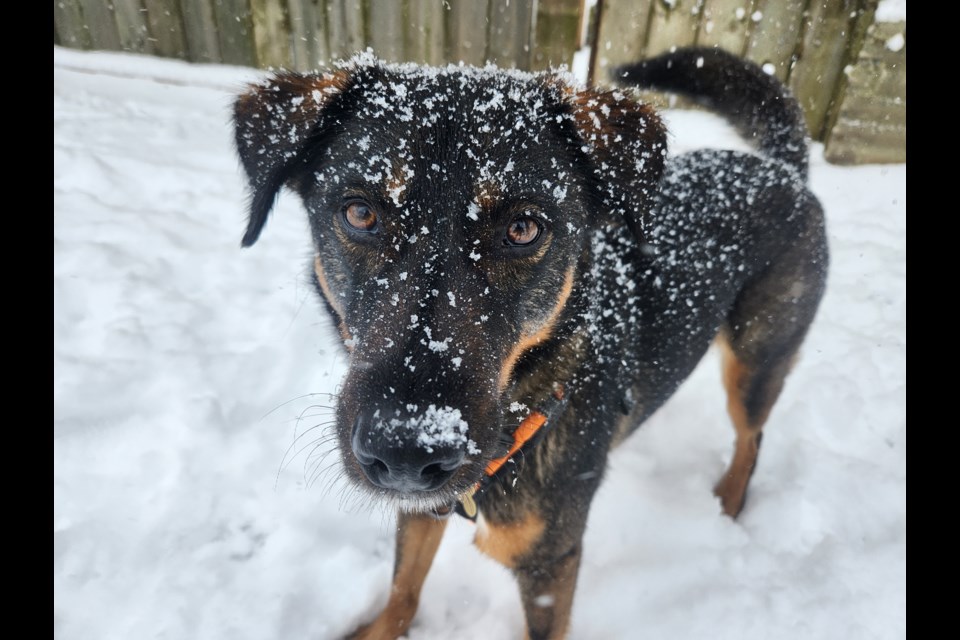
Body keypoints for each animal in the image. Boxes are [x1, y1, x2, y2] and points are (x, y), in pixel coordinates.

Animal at [231, 46, 824, 640]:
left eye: (523, 229)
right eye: (360, 213)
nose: (406, 451)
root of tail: (784, 170)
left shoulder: (550, 565)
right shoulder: (423, 507)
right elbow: (404, 587)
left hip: (754, 362)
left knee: (751, 437)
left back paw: (728, 501)